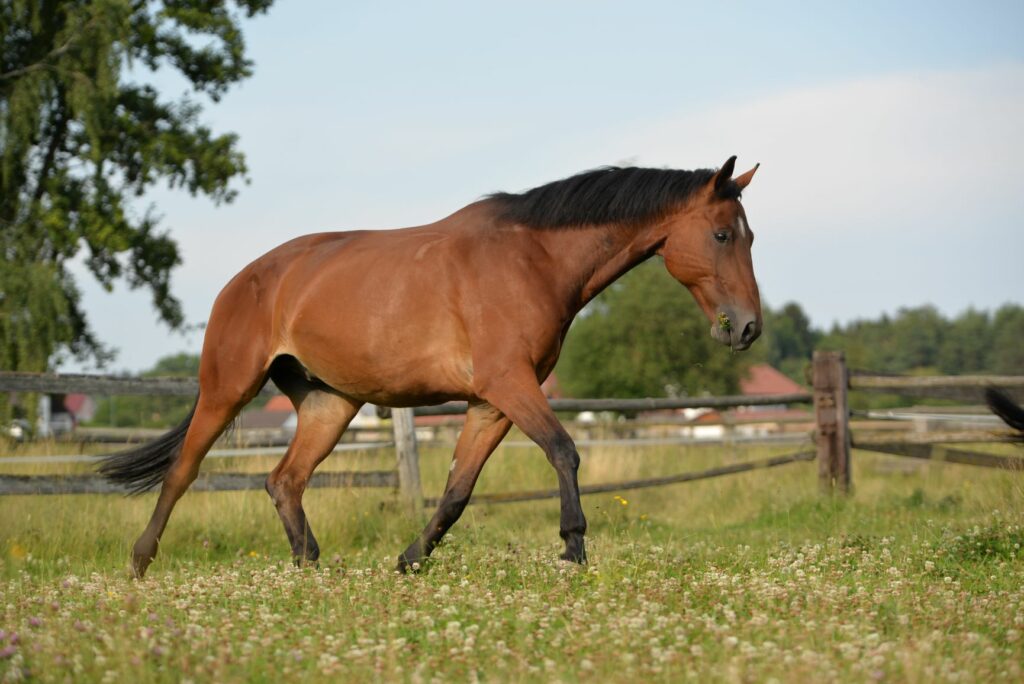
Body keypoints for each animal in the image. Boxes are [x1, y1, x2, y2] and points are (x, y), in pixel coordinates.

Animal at [99, 154, 765, 577]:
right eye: (723, 235)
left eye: (749, 235)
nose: (748, 327)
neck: (533, 258)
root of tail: (243, 280)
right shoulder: (510, 384)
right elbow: (564, 450)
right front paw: (573, 548)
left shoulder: (491, 404)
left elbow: (457, 491)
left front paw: (409, 560)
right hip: (228, 387)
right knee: (183, 472)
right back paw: (139, 561)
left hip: (329, 403)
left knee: (284, 480)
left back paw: (309, 565)